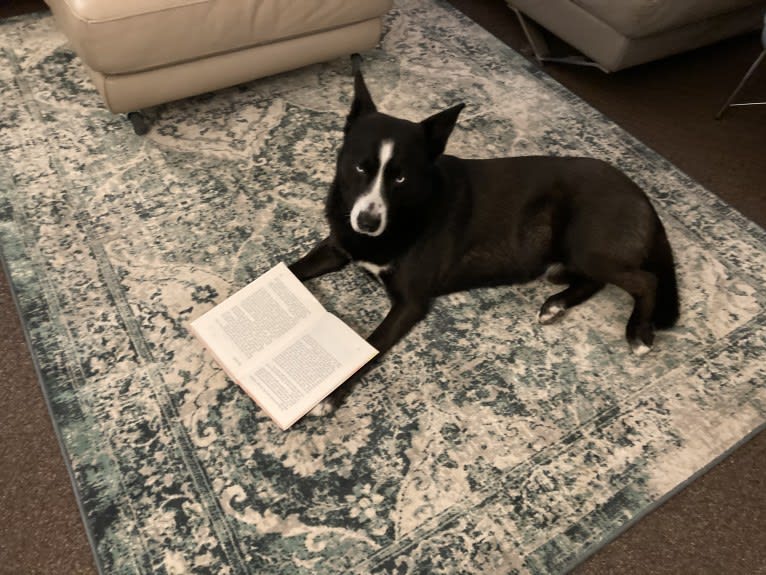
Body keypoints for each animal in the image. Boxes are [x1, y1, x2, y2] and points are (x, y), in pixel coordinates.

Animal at [292, 58, 680, 414]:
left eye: (400, 178)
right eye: (361, 167)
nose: (367, 222)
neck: (406, 214)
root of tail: (639, 192)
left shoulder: (410, 302)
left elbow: (371, 345)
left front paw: (331, 395)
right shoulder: (338, 246)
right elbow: (291, 268)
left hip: (587, 245)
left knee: (645, 280)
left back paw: (638, 332)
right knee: (596, 280)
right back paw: (556, 304)